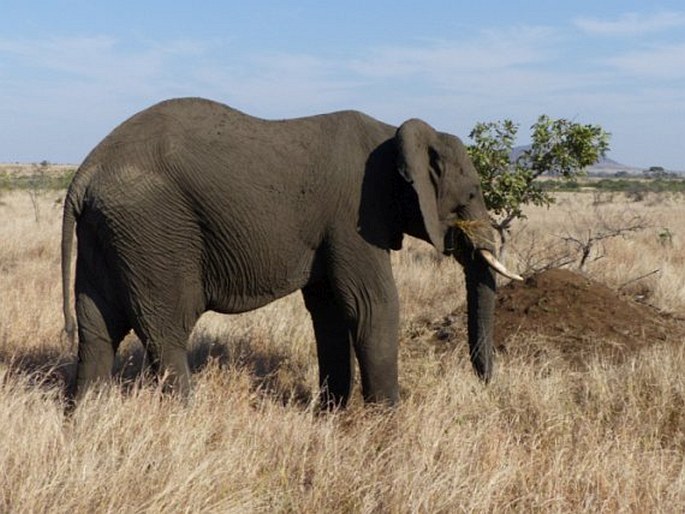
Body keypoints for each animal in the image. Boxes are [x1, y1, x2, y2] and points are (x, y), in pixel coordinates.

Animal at [62, 98, 520, 406]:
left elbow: (331, 310)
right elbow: (373, 305)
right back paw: (183, 416)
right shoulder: (355, 215)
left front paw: (332, 412)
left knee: (97, 331)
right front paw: (388, 420)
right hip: (152, 230)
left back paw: (87, 418)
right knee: (165, 332)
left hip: (108, 233)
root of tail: (85, 172)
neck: (393, 132)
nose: (486, 384)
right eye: (471, 194)